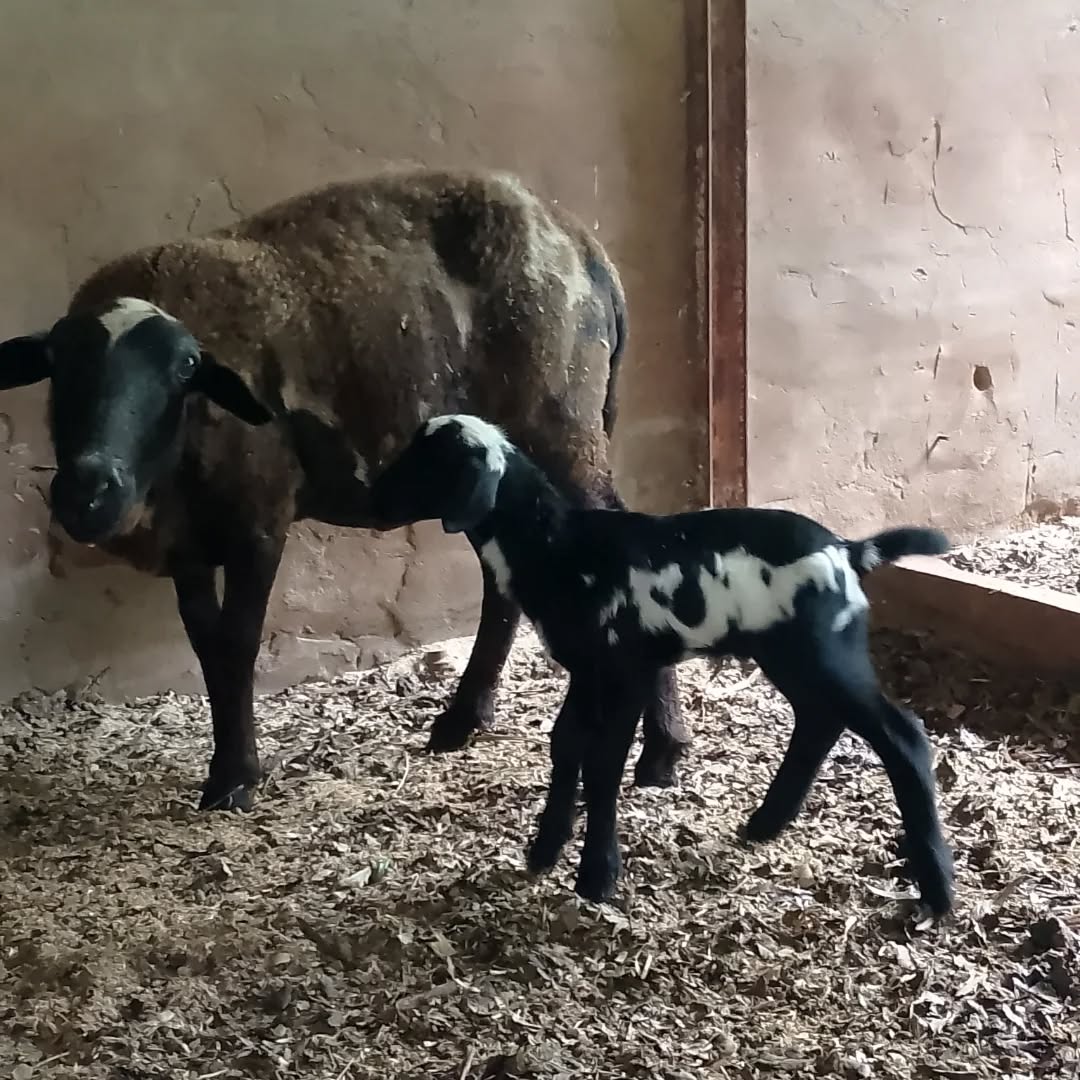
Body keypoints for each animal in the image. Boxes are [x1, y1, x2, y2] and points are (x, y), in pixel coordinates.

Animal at [0, 167, 690, 812]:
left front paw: (236, 776)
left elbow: (238, 643)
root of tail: (581, 242)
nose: (87, 491)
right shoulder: (188, 543)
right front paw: (225, 769)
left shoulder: (259, 516)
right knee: (503, 582)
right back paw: (462, 721)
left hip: (562, 424)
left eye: (185, 369)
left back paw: (661, 750)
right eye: (57, 366)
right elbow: (206, 645)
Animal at [369, 413, 957, 916]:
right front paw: (545, 850)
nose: (370, 497)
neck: (558, 546)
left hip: (827, 651)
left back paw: (936, 890)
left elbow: (603, 762)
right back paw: (766, 823)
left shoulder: (627, 671)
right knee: (819, 720)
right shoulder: (587, 669)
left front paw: (597, 875)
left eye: (427, 463)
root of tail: (849, 551)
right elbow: (566, 746)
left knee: (901, 735)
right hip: (789, 654)